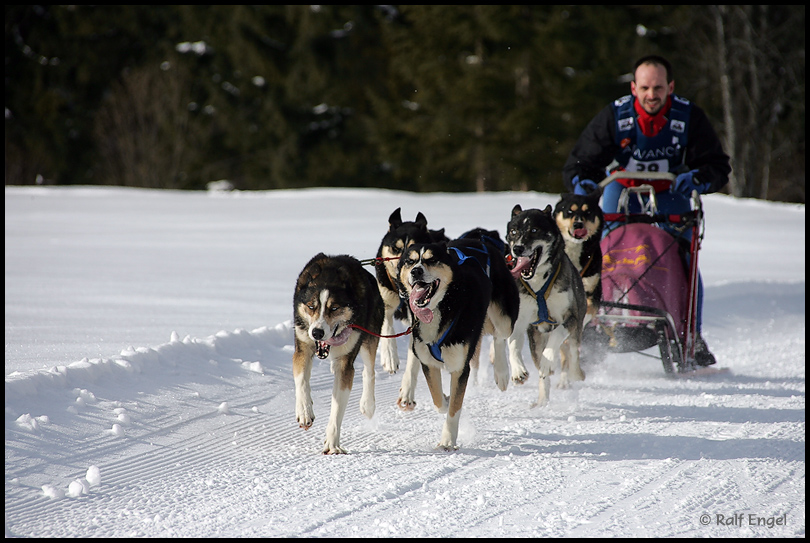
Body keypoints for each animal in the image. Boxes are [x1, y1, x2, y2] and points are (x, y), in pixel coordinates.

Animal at [292, 254, 384, 454]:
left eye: (334, 308)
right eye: (311, 306)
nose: (317, 333)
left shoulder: (345, 364)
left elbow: (337, 409)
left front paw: (332, 444)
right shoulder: (303, 347)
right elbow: (302, 380)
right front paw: (304, 412)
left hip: (369, 337)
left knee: (369, 370)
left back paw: (368, 404)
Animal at [502, 205, 584, 408]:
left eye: (534, 230)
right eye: (513, 232)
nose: (517, 248)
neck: (539, 283)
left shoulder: (570, 318)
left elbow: (557, 335)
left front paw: (549, 361)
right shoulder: (519, 321)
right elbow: (512, 344)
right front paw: (518, 371)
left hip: (576, 328)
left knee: (572, 352)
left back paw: (573, 372)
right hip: (535, 340)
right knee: (542, 373)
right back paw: (542, 401)